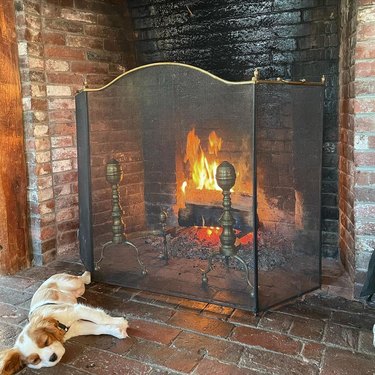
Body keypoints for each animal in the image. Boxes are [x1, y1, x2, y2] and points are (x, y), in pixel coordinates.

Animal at [0, 272, 129, 374]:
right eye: (36, 361)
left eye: (46, 341)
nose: (53, 357)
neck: (60, 325)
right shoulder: (78, 326)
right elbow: (97, 329)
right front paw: (117, 331)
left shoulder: (76, 310)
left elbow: (99, 317)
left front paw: (120, 321)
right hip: (77, 290)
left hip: (72, 283)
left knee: (81, 278)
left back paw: (86, 275)